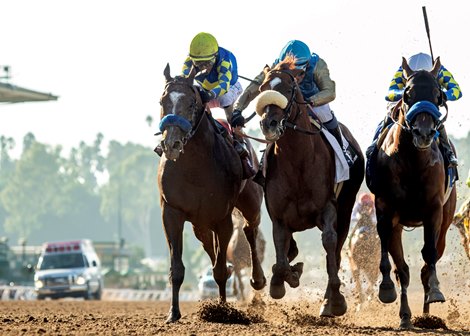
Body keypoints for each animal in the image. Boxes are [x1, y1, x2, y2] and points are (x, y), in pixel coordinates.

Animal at [158, 63, 266, 322]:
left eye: (191, 104)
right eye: (162, 101)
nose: (171, 144)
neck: (194, 167)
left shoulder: (222, 217)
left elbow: (219, 270)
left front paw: (223, 310)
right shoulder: (171, 212)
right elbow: (177, 268)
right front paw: (173, 313)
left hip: (250, 203)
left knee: (250, 230)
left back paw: (257, 280)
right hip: (200, 223)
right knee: (210, 246)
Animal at [255, 57, 366, 318]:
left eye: (288, 89)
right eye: (262, 89)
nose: (269, 124)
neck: (298, 161)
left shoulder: (328, 209)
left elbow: (329, 243)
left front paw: (335, 300)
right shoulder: (279, 217)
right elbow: (281, 255)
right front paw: (283, 279)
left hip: (346, 209)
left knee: (336, 248)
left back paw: (329, 301)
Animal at [368, 57, 456, 328]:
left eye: (438, 95)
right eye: (407, 93)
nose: (424, 133)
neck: (412, 162)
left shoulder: (434, 210)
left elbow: (429, 255)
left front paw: (436, 290)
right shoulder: (385, 209)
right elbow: (390, 256)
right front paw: (386, 288)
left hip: (446, 220)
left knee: (429, 262)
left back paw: (427, 313)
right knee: (404, 270)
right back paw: (407, 316)